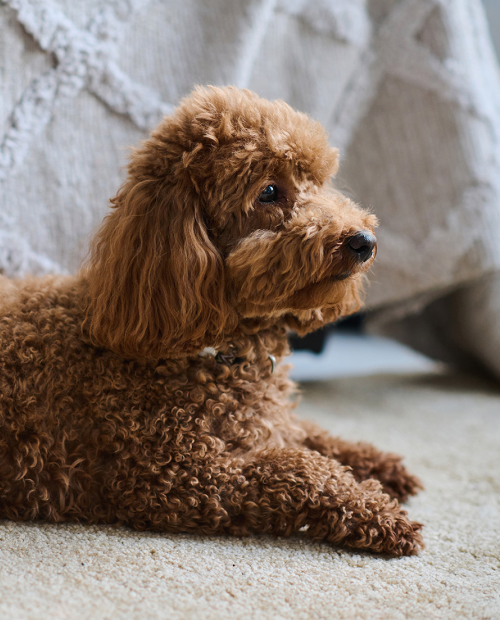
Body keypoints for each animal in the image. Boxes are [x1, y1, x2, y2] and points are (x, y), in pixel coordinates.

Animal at [0, 86, 422, 556]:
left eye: (320, 182)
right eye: (269, 191)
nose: (364, 242)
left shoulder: (266, 424)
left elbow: (306, 432)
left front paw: (379, 465)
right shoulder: (177, 476)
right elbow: (294, 467)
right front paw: (375, 509)